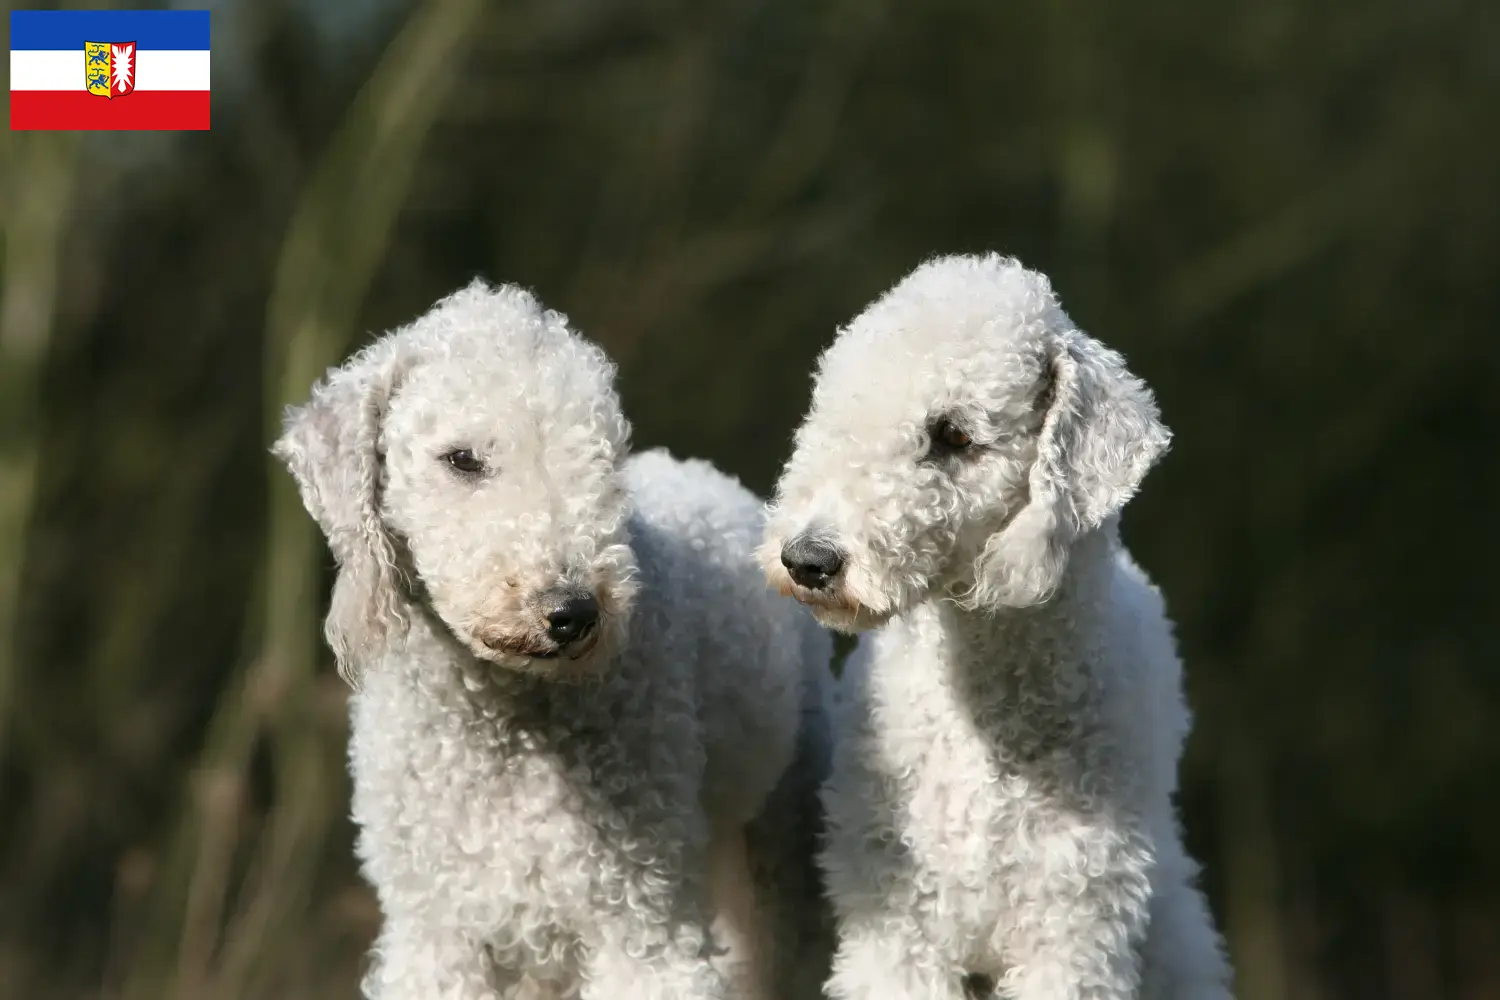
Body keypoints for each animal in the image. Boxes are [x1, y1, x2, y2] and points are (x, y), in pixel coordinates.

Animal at [277, 280, 840, 1000]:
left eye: (604, 459)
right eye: (461, 458)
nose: (573, 612)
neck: (506, 721)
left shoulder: (643, 925)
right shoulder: (439, 935)